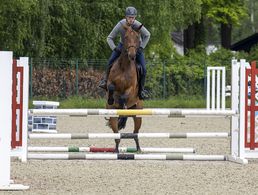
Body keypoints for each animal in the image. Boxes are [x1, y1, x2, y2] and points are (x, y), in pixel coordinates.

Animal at [106, 24, 144, 152]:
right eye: (126, 37)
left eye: (137, 38)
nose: (132, 55)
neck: (124, 66)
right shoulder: (110, 83)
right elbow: (111, 87)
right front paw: (111, 99)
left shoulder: (131, 88)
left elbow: (124, 96)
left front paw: (123, 105)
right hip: (113, 118)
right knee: (117, 135)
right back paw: (116, 150)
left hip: (138, 117)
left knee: (135, 133)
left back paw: (138, 149)